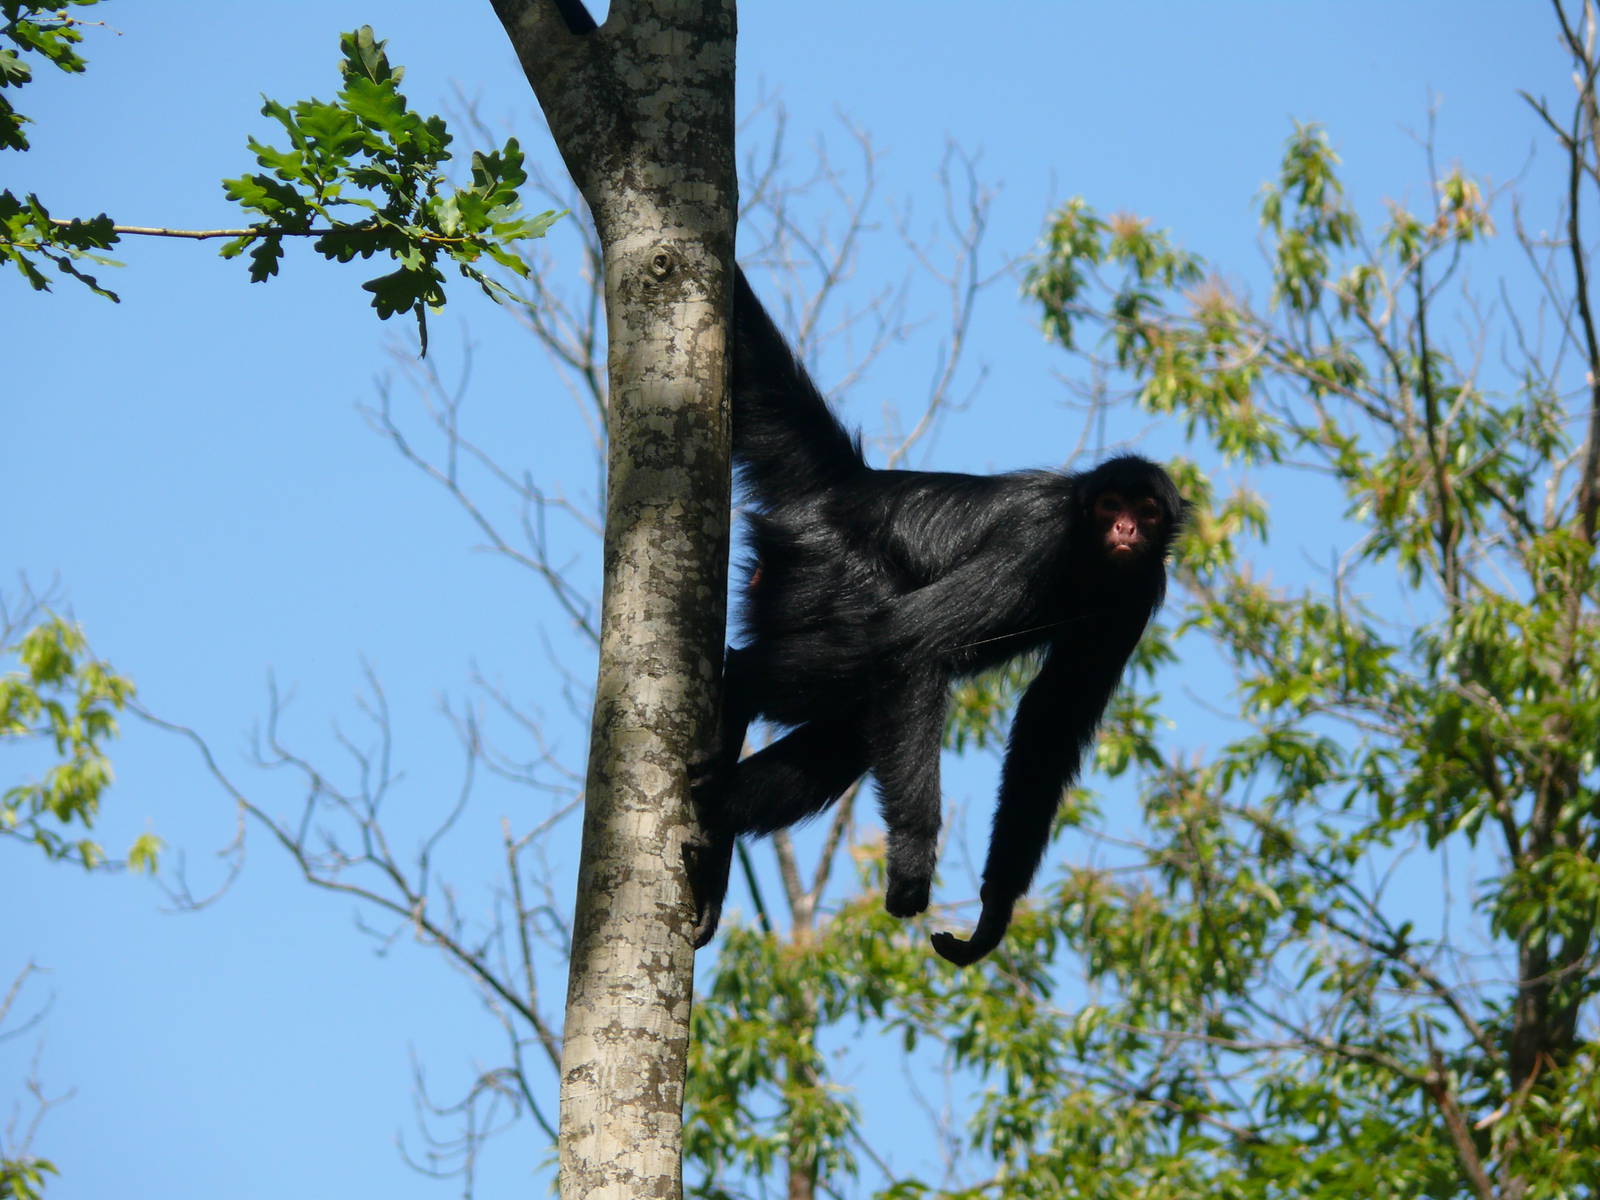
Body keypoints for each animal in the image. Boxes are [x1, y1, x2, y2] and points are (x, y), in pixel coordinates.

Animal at [691, 270, 1185, 965]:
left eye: (1145, 512)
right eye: (1111, 505)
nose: (1124, 530)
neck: (1087, 555)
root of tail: (853, 485)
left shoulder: (1139, 590)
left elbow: (1050, 723)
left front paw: (993, 914)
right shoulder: (1038, 538)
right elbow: (914, 645)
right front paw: (912, 863)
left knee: (850, 728)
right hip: (826, 563)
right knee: (867, 645)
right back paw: (732, 703)